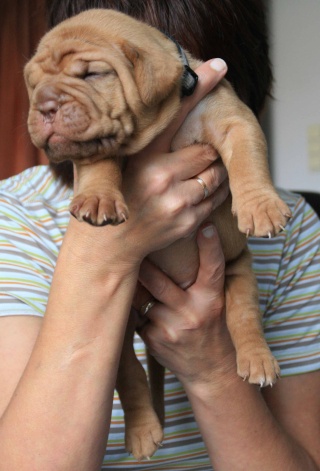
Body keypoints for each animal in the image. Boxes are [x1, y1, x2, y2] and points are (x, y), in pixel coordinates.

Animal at [23, 10, 292, 460]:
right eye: (31, 84)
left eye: (93, 74)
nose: (43, 105)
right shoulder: (92, 145)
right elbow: (97, 164)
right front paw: (97, 198)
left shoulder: (230, 118)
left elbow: (248, 157)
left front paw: (261, 206)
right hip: (119, 331)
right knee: (130, 375)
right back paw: (142, 432)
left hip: (238, 269)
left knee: (243, 316)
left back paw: (258, 361)